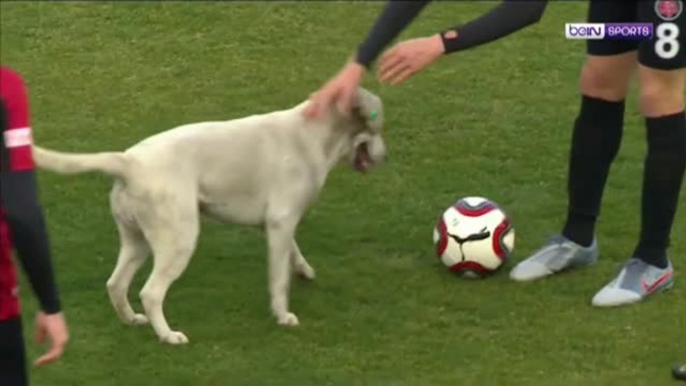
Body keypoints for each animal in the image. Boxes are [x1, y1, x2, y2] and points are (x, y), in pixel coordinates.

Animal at [32, 89, 388, 346]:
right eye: (377, 128)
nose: (386, 155)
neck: (314, 133)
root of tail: (129, 162)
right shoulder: (281, 220)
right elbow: (278, 279)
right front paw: (283, 315)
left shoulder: (276, 225)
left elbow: (292, 251)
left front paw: (304, 270)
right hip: (179, 241)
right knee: (151, 292)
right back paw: (168, 336)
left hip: (137, 242)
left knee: (116, 284)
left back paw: (131, 320)